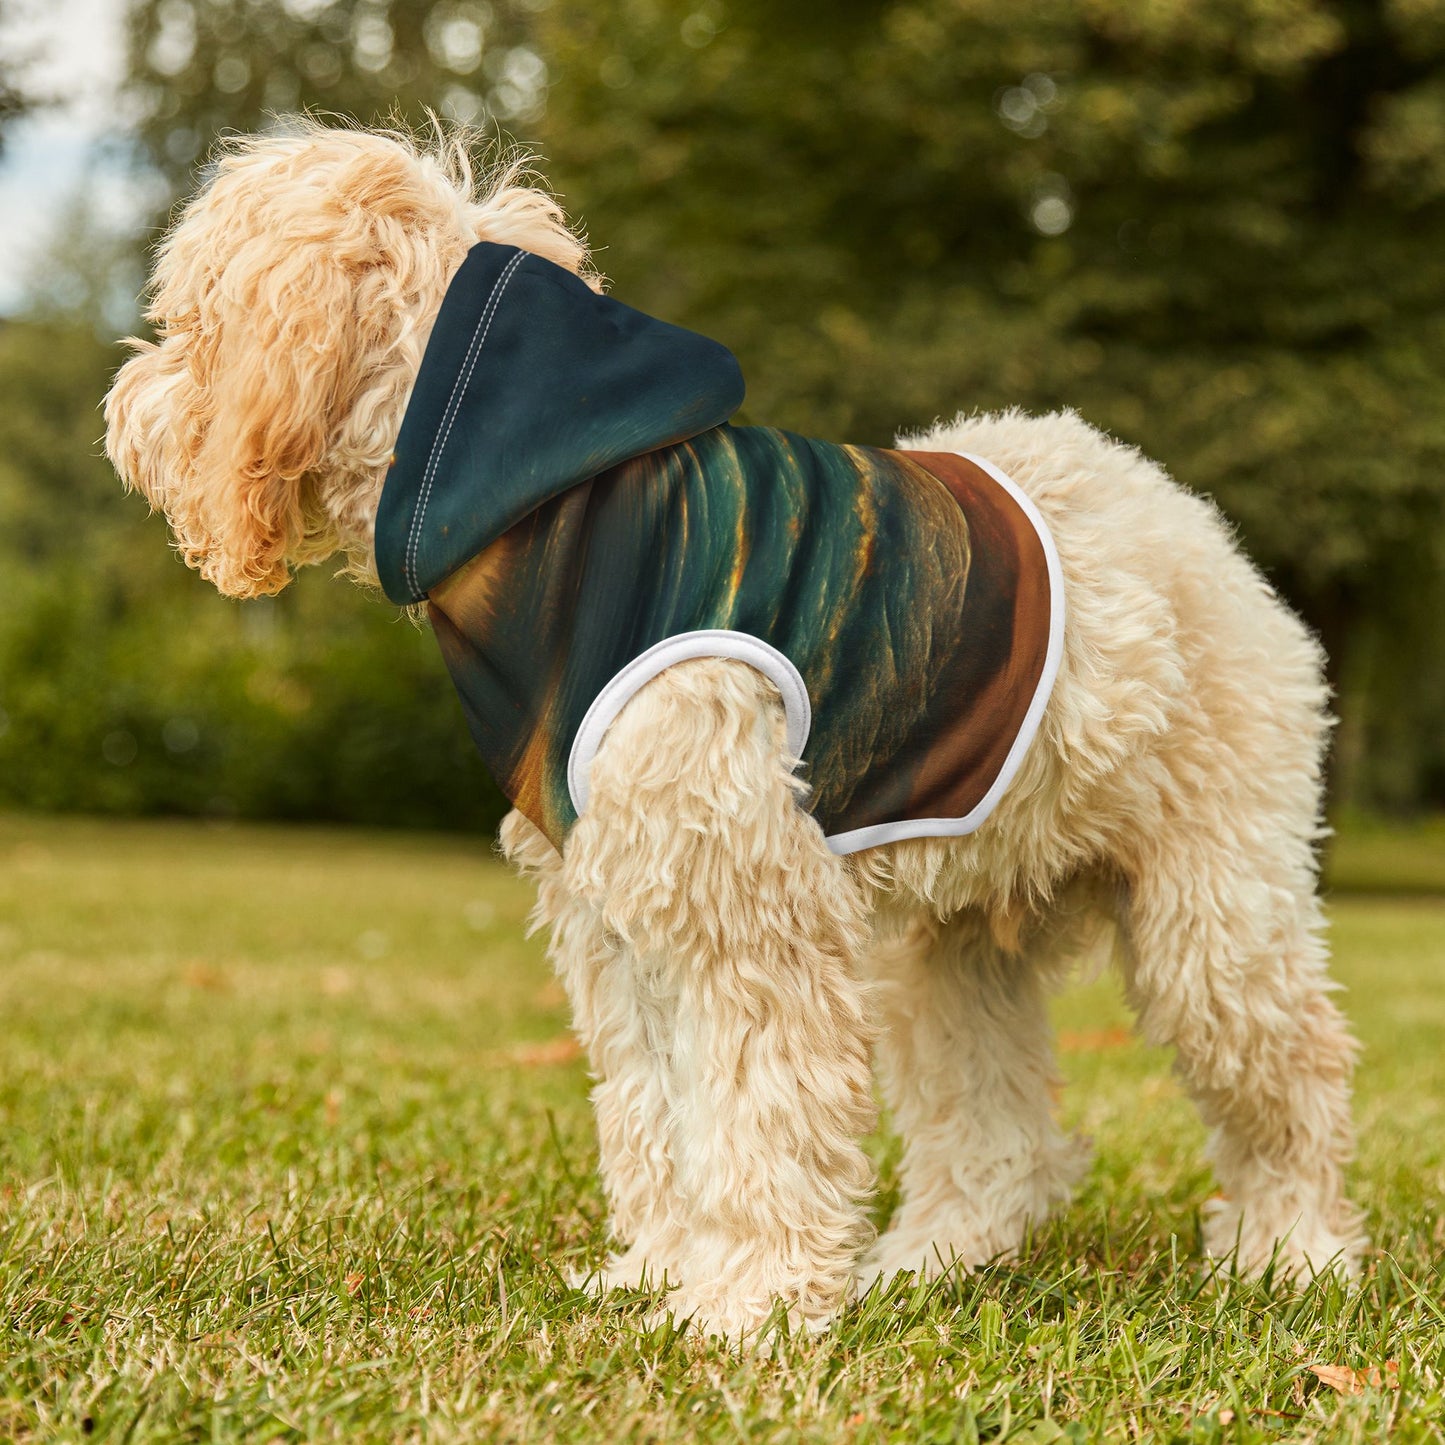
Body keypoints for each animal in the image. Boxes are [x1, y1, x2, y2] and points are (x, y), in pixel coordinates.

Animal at [104, 124, 1364, 1340]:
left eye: (191, 320)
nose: (123, 408)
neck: (547, 509)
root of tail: (1187, 518)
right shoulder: (620, 913)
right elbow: (656, 1111)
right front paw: (662, 1272)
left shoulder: (743, 907)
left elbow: (758, 1113)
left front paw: (747, 1304)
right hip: (949, 949)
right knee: (996, 1134)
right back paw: (930, 1260)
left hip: (1212, 916)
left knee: (1293, 1076)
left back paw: (1290, 1251)